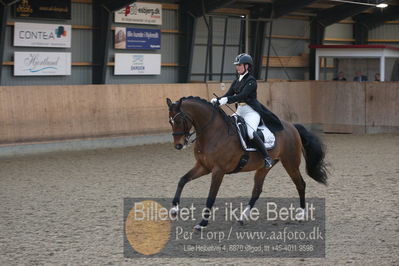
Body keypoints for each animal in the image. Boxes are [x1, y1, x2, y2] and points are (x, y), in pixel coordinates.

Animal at [166, 96, 328, 230]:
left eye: (179, 120)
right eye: (170, 121)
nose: (178, 145)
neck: (213, 133)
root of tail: (292, 126)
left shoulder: (218, 170)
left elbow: (211, 196)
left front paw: (202, 223)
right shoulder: (203, 166)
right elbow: (182, 180)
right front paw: (174, 209)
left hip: (291, 163)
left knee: (300, 184)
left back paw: (301, 215)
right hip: (264, 167)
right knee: (257, 190)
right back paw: (242, 217)